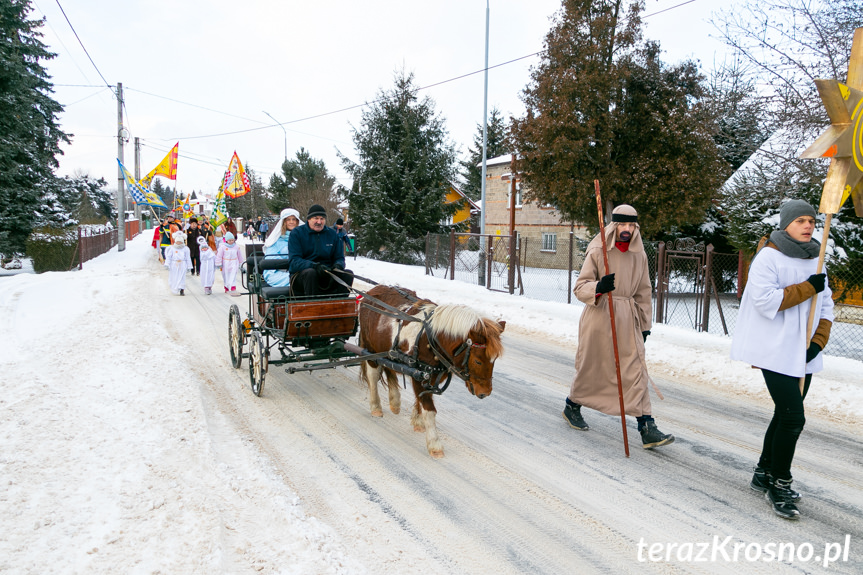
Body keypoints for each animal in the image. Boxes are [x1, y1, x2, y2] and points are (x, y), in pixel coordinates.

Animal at [358, 284, 506, 460]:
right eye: (477, 360)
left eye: (494, 359)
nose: (485, 392)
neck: (430, 339)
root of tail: (372, 290)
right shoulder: (419, 375)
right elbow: (429, 409)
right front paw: (434, 444)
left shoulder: (426, 375)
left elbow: (420, 398)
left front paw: (418, 421)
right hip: (371, 350)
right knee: (373, 376)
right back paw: (376, 407)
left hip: (386, 351)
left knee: (389, 369)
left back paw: (394, 402)